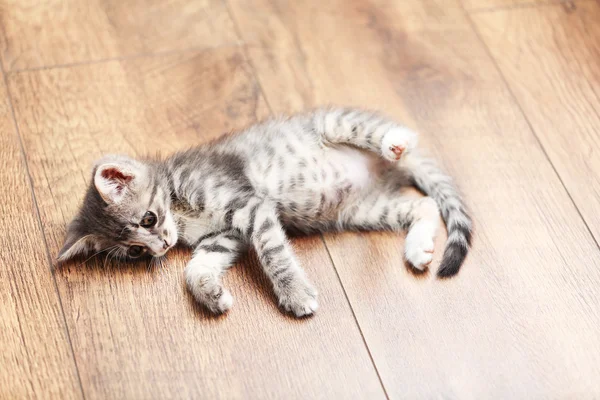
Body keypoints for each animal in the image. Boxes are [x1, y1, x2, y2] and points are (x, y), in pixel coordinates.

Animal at [59, 108, 474, 318]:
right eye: (134, 251)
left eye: (149, 219)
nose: (159, 248)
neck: (178, 203)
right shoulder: (223, 236)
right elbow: (195, 268)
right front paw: (211, 294)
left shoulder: (248, 207)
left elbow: (275, 254)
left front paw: (295, 294)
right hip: (362, 209)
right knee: (424, 203)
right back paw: (419, 247)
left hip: (333, 124)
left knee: (381, 129)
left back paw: (395, 141)